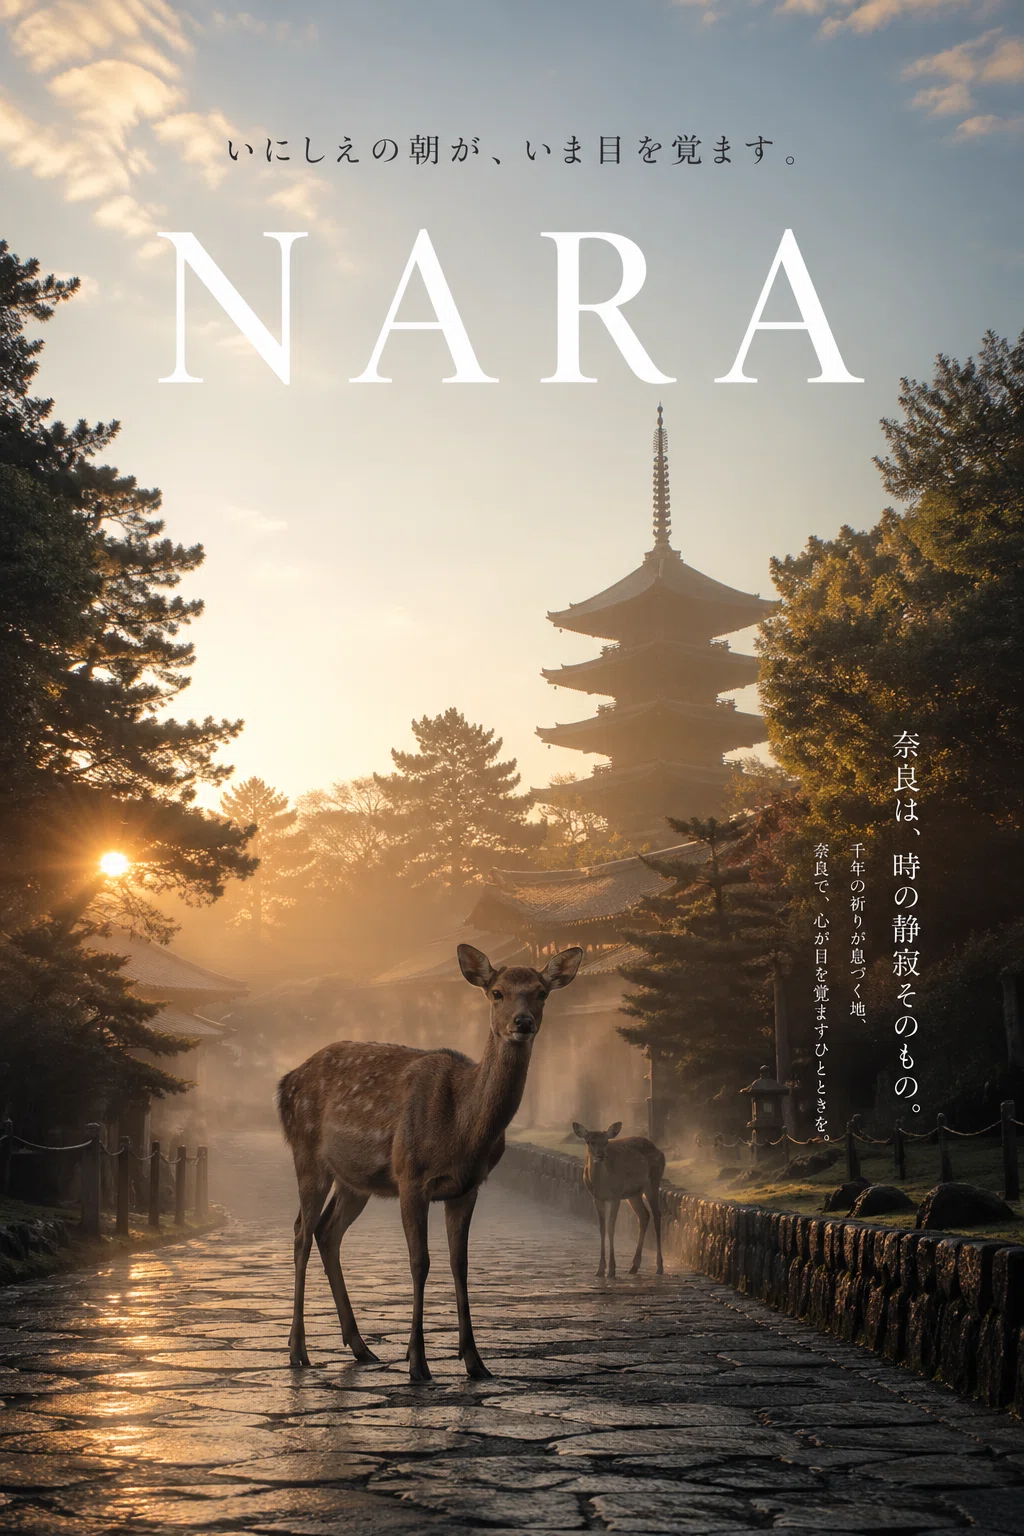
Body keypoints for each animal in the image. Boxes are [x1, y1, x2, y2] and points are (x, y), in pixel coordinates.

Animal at [277, 942, 583, 1382]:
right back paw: (298, 1351)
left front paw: (475, 1361)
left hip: (355, 1180)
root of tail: (285, 1083)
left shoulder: (467, 1186)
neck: (461, 1129)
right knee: (301, 1231)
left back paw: (361, 1347)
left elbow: (460, 1264)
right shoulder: (411, 1176)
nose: (522, 1022)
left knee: (327, 1230)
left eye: (541, 992)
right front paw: (418, 1363)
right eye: (497, 993)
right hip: (307, 1153)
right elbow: (419, 1262)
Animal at [573, 1120, 666, 1278]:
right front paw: (600, 1269)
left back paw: (659, 1267)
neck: (602, 1183)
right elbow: (602, 1228)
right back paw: (634, 1266)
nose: (601, 1155)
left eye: (606, 1141)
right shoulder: (597, 1198)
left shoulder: (615, 1196)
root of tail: (661, 1152)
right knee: (644, 1215)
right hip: (634, 1193)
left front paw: (611, 1269)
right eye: (590, 1141)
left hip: (653, 1181)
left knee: (657, 1215)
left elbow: (611, 1227)